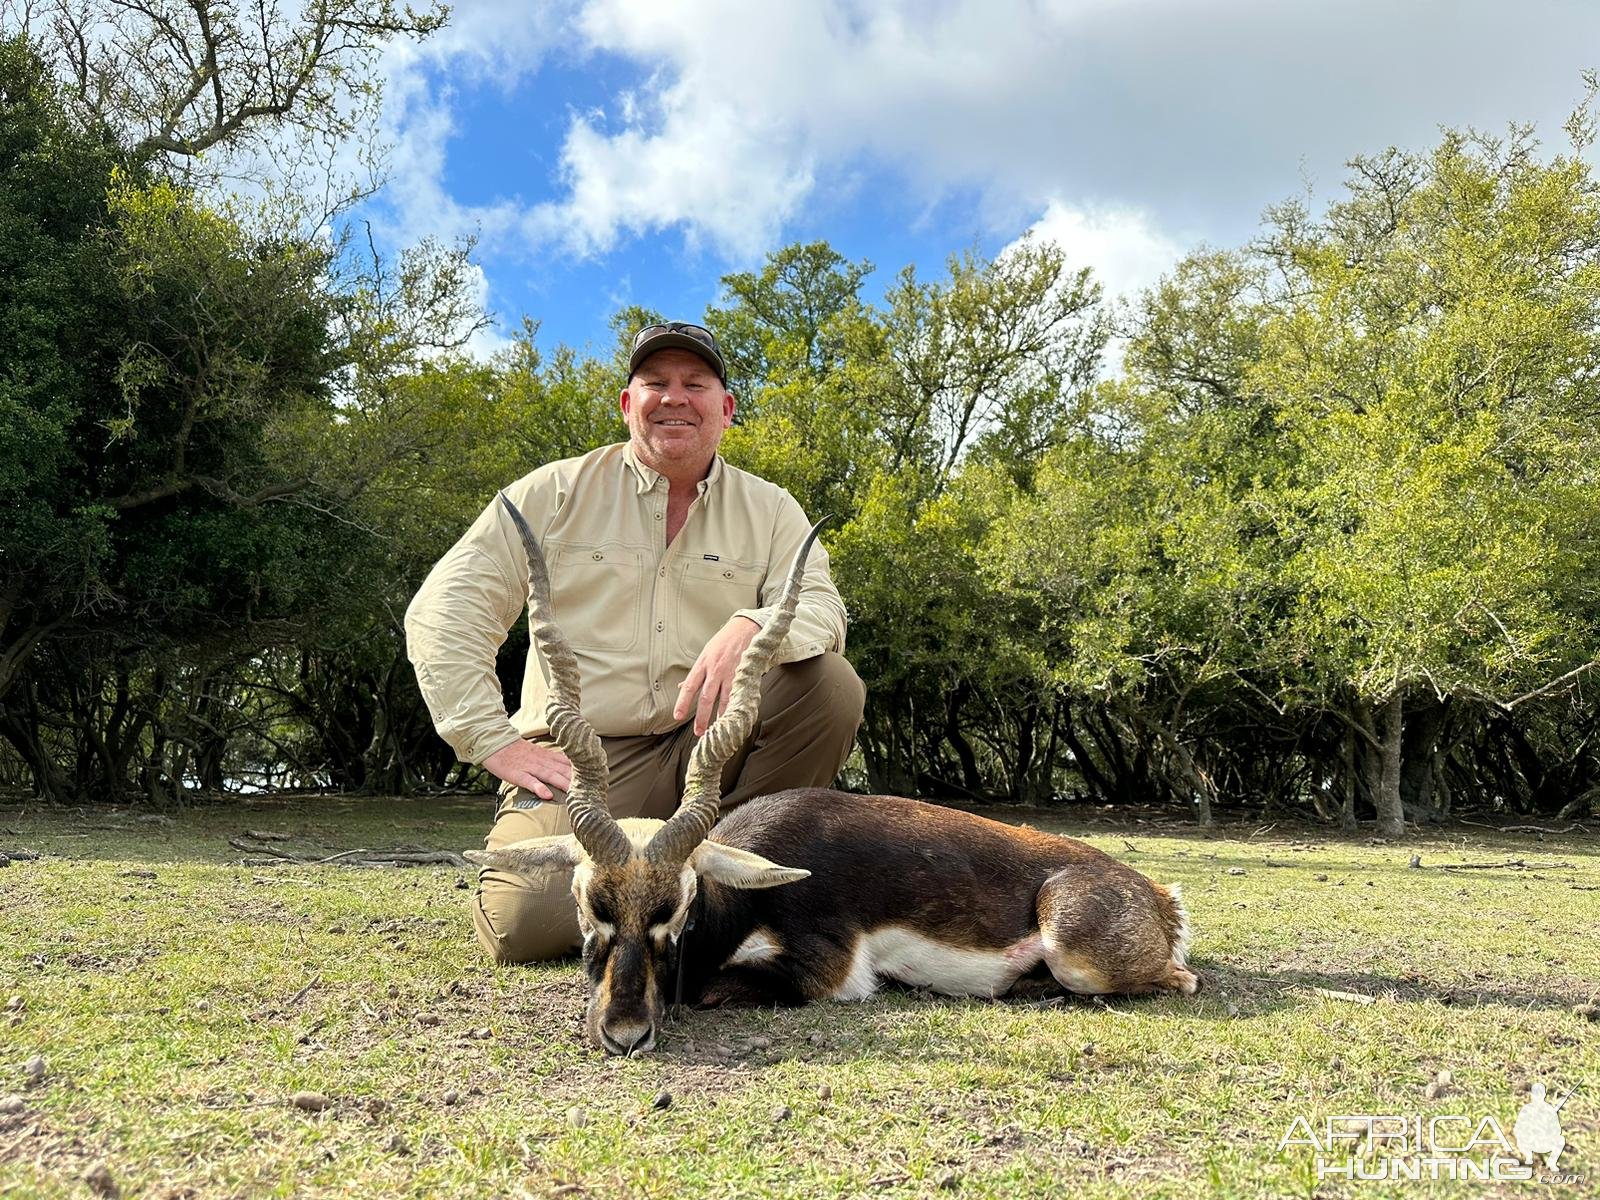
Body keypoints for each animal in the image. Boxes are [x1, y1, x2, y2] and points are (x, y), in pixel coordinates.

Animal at [467, 492, 1196, 1056]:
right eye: (587, 905)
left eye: (677, 911)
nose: (625, 1035)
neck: (739, 900)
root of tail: (1159, 895)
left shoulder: (827, 974)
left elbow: (708, 990)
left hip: (1076, 952)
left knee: (1175, 982)